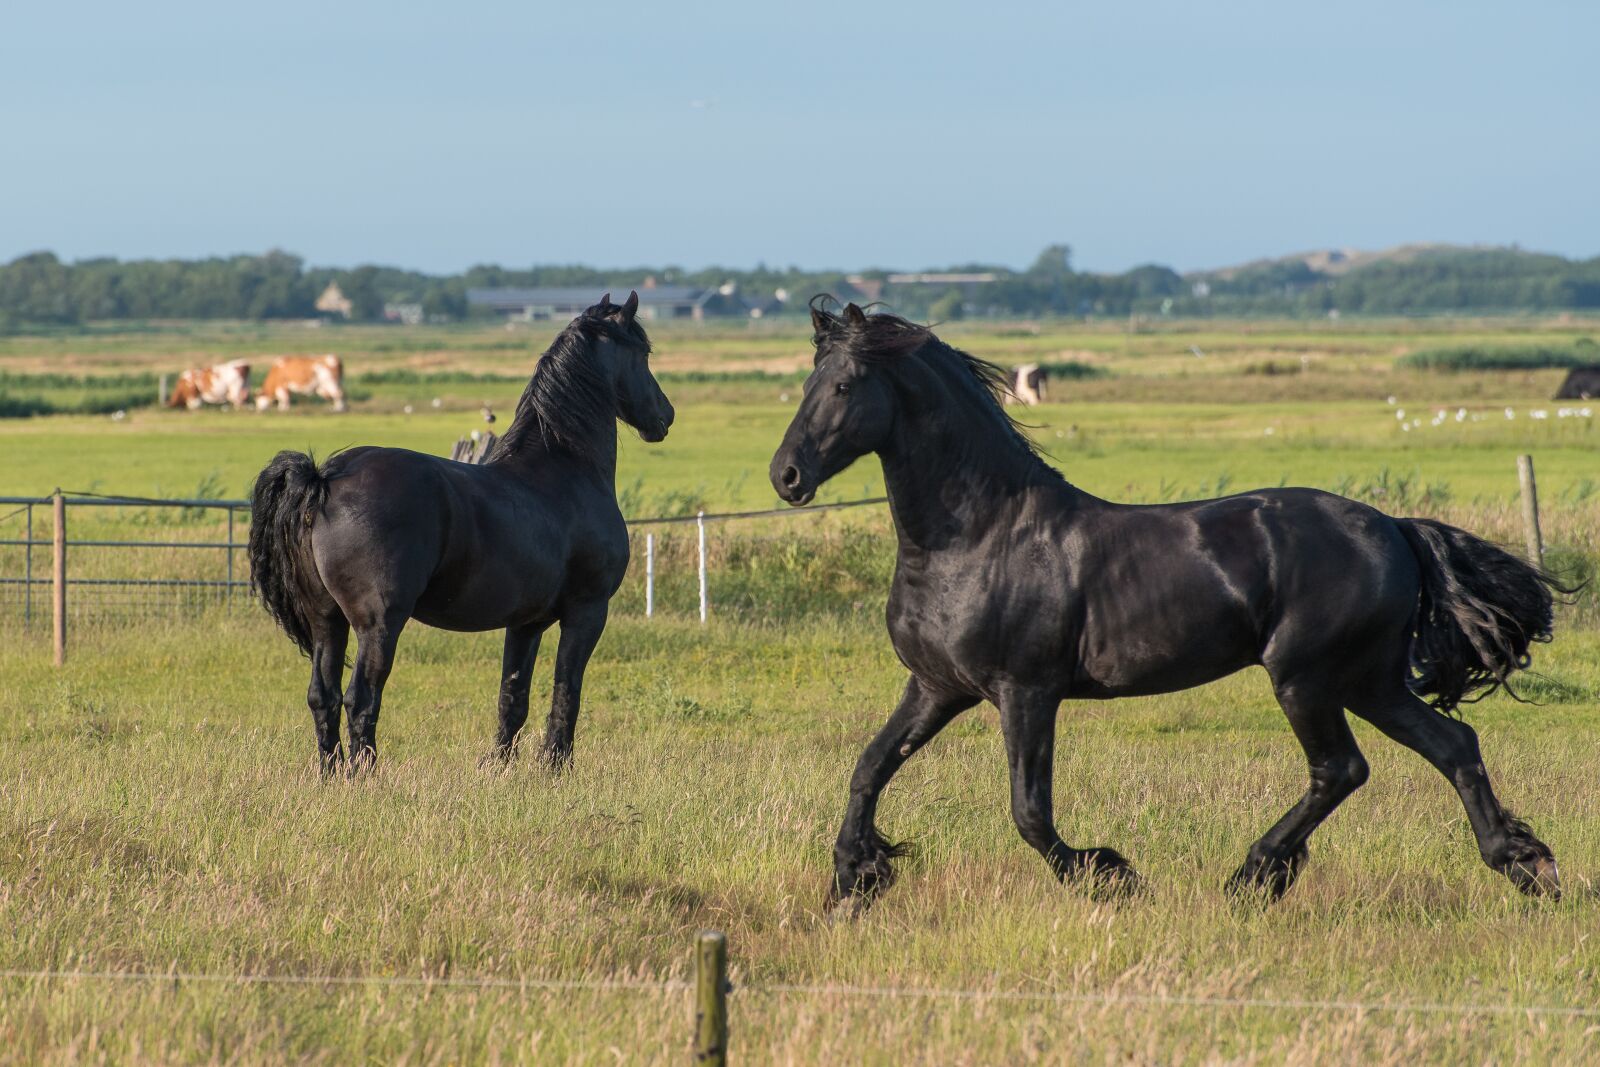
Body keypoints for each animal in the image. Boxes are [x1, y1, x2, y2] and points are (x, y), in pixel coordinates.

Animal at [249, 292, 673, 772]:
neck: (565, 468)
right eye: (644, 353)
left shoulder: (526, 623)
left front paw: (502, 768)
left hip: (327, 621)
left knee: (324, 697)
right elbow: (567, 691)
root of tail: (326, 477)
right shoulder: (586, 612)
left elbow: (513, 696)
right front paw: (555, 767)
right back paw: (365, 775)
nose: (666, 415)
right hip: (378, 624)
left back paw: (332, 773)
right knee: (361, 697)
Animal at [770, 298, 1570, 909]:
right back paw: (1525, 865)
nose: (787, 476)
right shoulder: (937, 687)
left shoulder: (1025, 691)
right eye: (809, 380)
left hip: (1308, 677)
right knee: (1451, 745)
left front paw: (1112, 876)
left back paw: (1254, 875)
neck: (978, 535)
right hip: (1367, 679)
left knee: (1341, 768)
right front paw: (854, 878)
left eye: (844, 385)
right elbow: (870, 767)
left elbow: (1030, 812)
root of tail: (1393, 529)